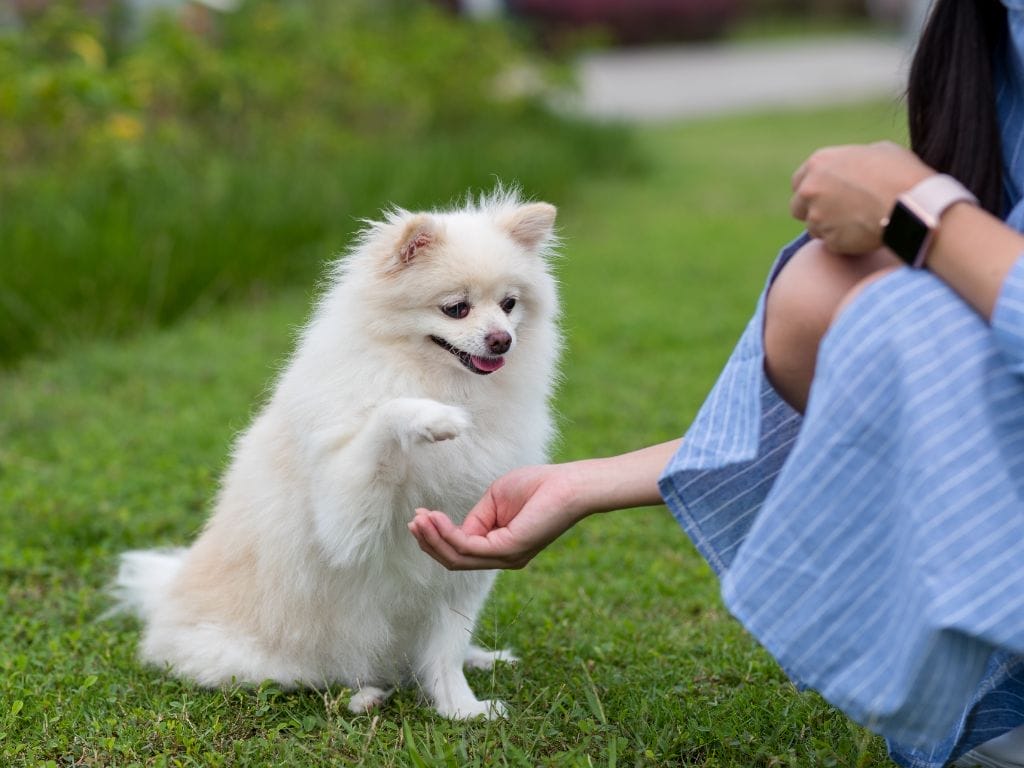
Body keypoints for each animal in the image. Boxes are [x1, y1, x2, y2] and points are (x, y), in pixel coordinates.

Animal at [114, 188, 561, 720]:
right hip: (264, 659)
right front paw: (432, 418)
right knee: (307, 678)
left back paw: (478, 658)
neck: (439, 379)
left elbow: (446, 649)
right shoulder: (344, 519)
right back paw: (363, 694)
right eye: (456, 308)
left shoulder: (460, 566)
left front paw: (461, 709)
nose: (502, 340)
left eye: (510, 304)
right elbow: (384, 415)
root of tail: (165, 598)